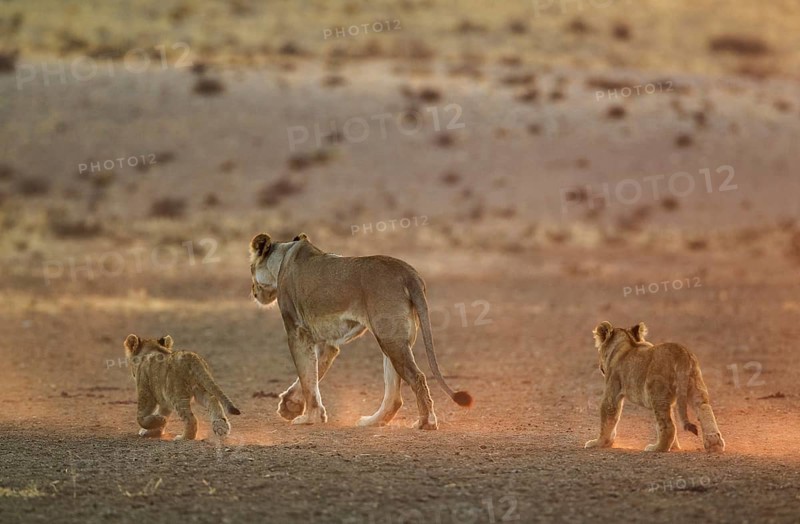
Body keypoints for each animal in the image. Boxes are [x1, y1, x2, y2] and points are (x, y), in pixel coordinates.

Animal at [249, 232, 472, 430]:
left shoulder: (297, 331)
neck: (282, 259)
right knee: (395, 395)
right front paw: (293, 406)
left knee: (417, 377)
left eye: (251, 268)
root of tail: (409, 273)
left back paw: (426, 422)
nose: (253, 292)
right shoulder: (328, 345)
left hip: (390, 338)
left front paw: (308, 417)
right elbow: (312, 375)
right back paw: (372, 421)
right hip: (393, 340)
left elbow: (307, 377)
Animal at [585, 321, 725, 452]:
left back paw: (657, 448)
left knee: (669, 426)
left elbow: (608, 416)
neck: (626, 343)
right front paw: (674, 447)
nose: (600, 367)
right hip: (694, 386)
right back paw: (714, 444)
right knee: (704, 408)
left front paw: (598, 443)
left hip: (657, 393)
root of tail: (680, 352)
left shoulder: (612, 390)